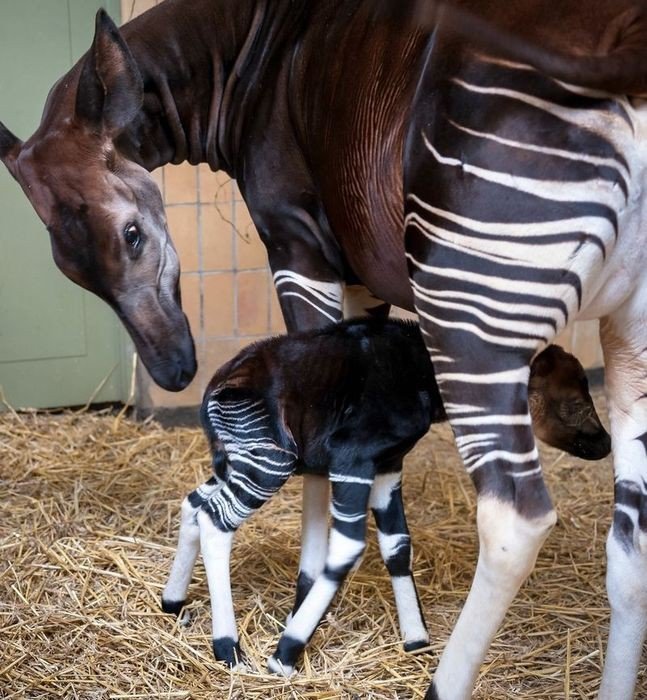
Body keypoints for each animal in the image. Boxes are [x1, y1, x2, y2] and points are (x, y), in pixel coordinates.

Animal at [161, 318, 608, 672]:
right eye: (574, 404)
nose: (605, 445)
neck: (426, 376)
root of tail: (213, 392)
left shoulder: (389, 463)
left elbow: (397, 544)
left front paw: (416, 638)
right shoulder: (353, 456)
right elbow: (347, 550)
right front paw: (285, 654)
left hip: (236, 460)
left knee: (195, 503)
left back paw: (173, 601)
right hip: (270, 462)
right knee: (216, 521)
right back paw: (229, 649)